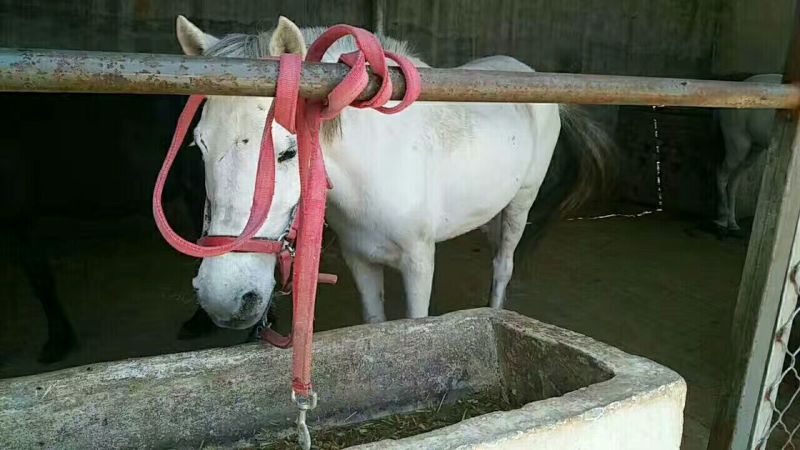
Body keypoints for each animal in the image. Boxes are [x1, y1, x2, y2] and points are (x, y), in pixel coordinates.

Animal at [172, 15, 616, 329]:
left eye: (287, 152)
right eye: (199, 145)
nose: (223, 297)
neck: (376, 167)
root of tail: (528, 72)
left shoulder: (419, 262)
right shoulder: (360, 260)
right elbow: (376, 322)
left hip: (522, 201)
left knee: (502, 265)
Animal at [713, 73, 779, 235]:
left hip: (753, 151)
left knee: (733, 183)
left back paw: (732, 223)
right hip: (738, 144)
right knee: (722, 173)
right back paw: (722, 221)